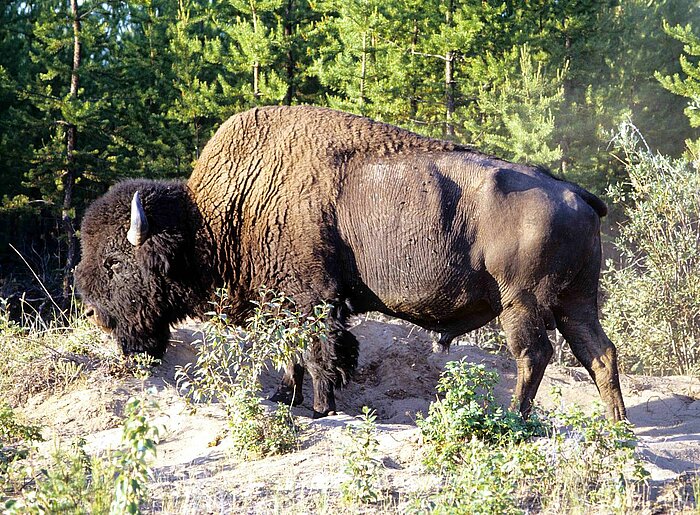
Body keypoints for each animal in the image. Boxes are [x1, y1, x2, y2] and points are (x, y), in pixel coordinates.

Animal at [76, 106, 628, 424]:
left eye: (114, 261)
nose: (96, 316)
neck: (214, 217)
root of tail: (576, 193)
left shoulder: (315, 299)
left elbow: (322, 352)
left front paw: (322, 408)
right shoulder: (287, 304)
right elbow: (292, 354)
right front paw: (286, 397)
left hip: (524, 302)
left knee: (533, 355)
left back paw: (514, 420)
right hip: (576, 302)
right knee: (600, 353)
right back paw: (617, 424)